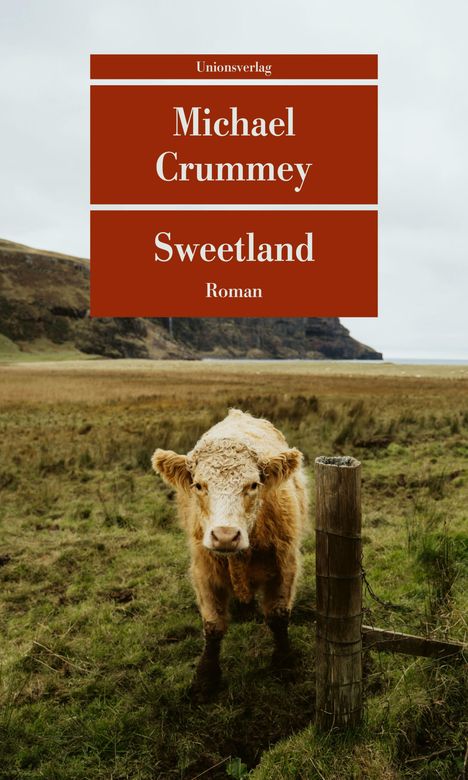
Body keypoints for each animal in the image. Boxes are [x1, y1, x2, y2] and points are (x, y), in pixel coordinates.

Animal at [152, 409, 308, 696]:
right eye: (199, 485)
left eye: (253, 485)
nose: (225, 535)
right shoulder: (203, 571)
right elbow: (213, 626)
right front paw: (205, 679)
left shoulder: (286, 565)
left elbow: (278, 616)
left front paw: (284, 664)